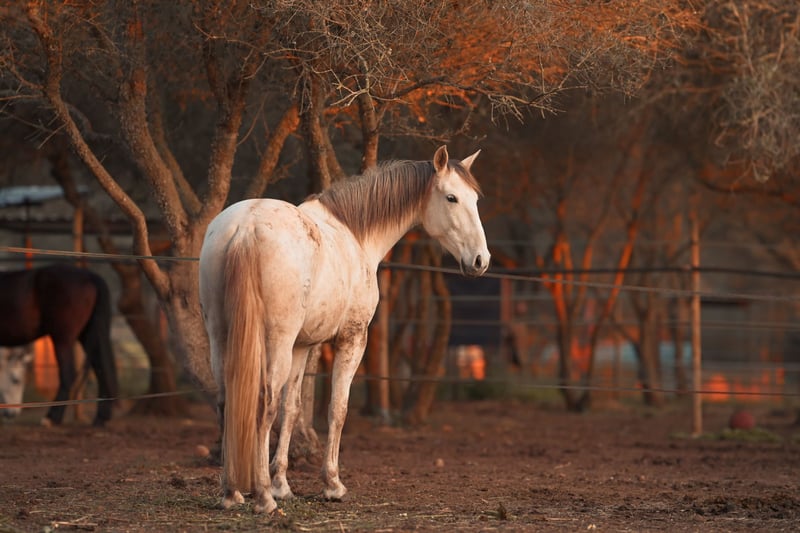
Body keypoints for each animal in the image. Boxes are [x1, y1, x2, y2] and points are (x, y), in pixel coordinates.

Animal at [0, 264, 118, 426]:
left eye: (16, 380)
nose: (11, 413)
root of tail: (90, 276)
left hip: (62, 339)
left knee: (68, 374)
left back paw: (52, 417)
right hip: (88, 335)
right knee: (101, 368)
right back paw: (101, 417)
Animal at [199, 145, 490, 513]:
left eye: (475, 199)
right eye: (452, 198)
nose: (481, 260)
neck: (356, 234)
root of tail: (245, 228)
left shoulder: (301, 347)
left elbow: (292, 409)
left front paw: (282, 484)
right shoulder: (352, 340)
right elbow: (337, 409)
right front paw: (332, 484)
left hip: (221, 336)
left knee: (227, 401)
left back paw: (232, 493)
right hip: (275, 342)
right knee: (263, 404)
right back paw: (263, 497)